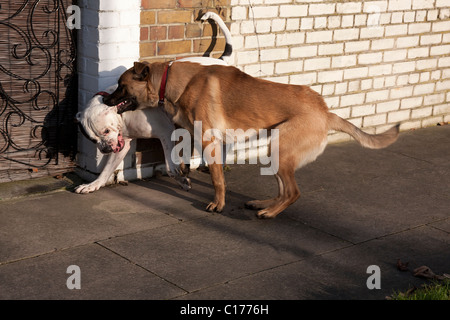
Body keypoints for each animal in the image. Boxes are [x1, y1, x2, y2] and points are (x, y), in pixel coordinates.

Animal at [103, 61, 400, 219]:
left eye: (121, 85)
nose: (105, 100)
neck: (172, 82)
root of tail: (326, 112)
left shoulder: (210, 143)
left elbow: (217, 180)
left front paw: (218, 204)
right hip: (276, 151)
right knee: (283, 189)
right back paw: (264, 204)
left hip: (280, 149)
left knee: (293, 192)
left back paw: (269, 213)